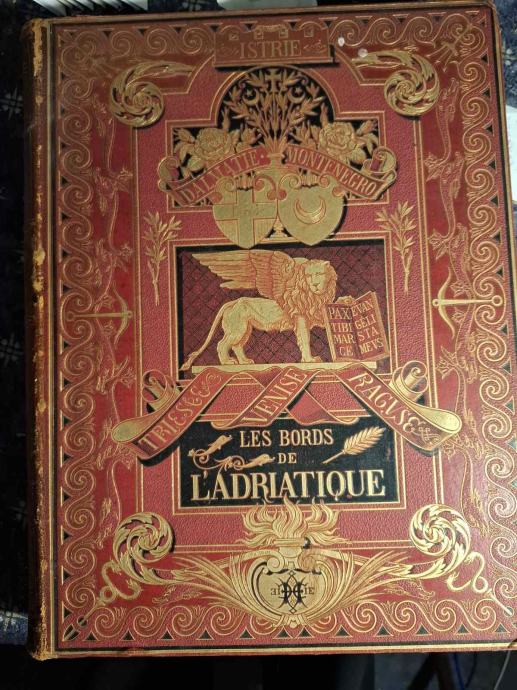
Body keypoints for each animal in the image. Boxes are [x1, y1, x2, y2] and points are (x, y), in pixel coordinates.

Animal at [180, 249, 340, 369]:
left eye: (319, 274)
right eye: (308, 276)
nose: (315, 285)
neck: (314, 295)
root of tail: (232, 302)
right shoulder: (301, 318)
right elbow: (305, 339)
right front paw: (309, 360)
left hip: (245, 329)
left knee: (237, 346)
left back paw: (244, 362)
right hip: (237, 329)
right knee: (222, 344)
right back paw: (227, 362)